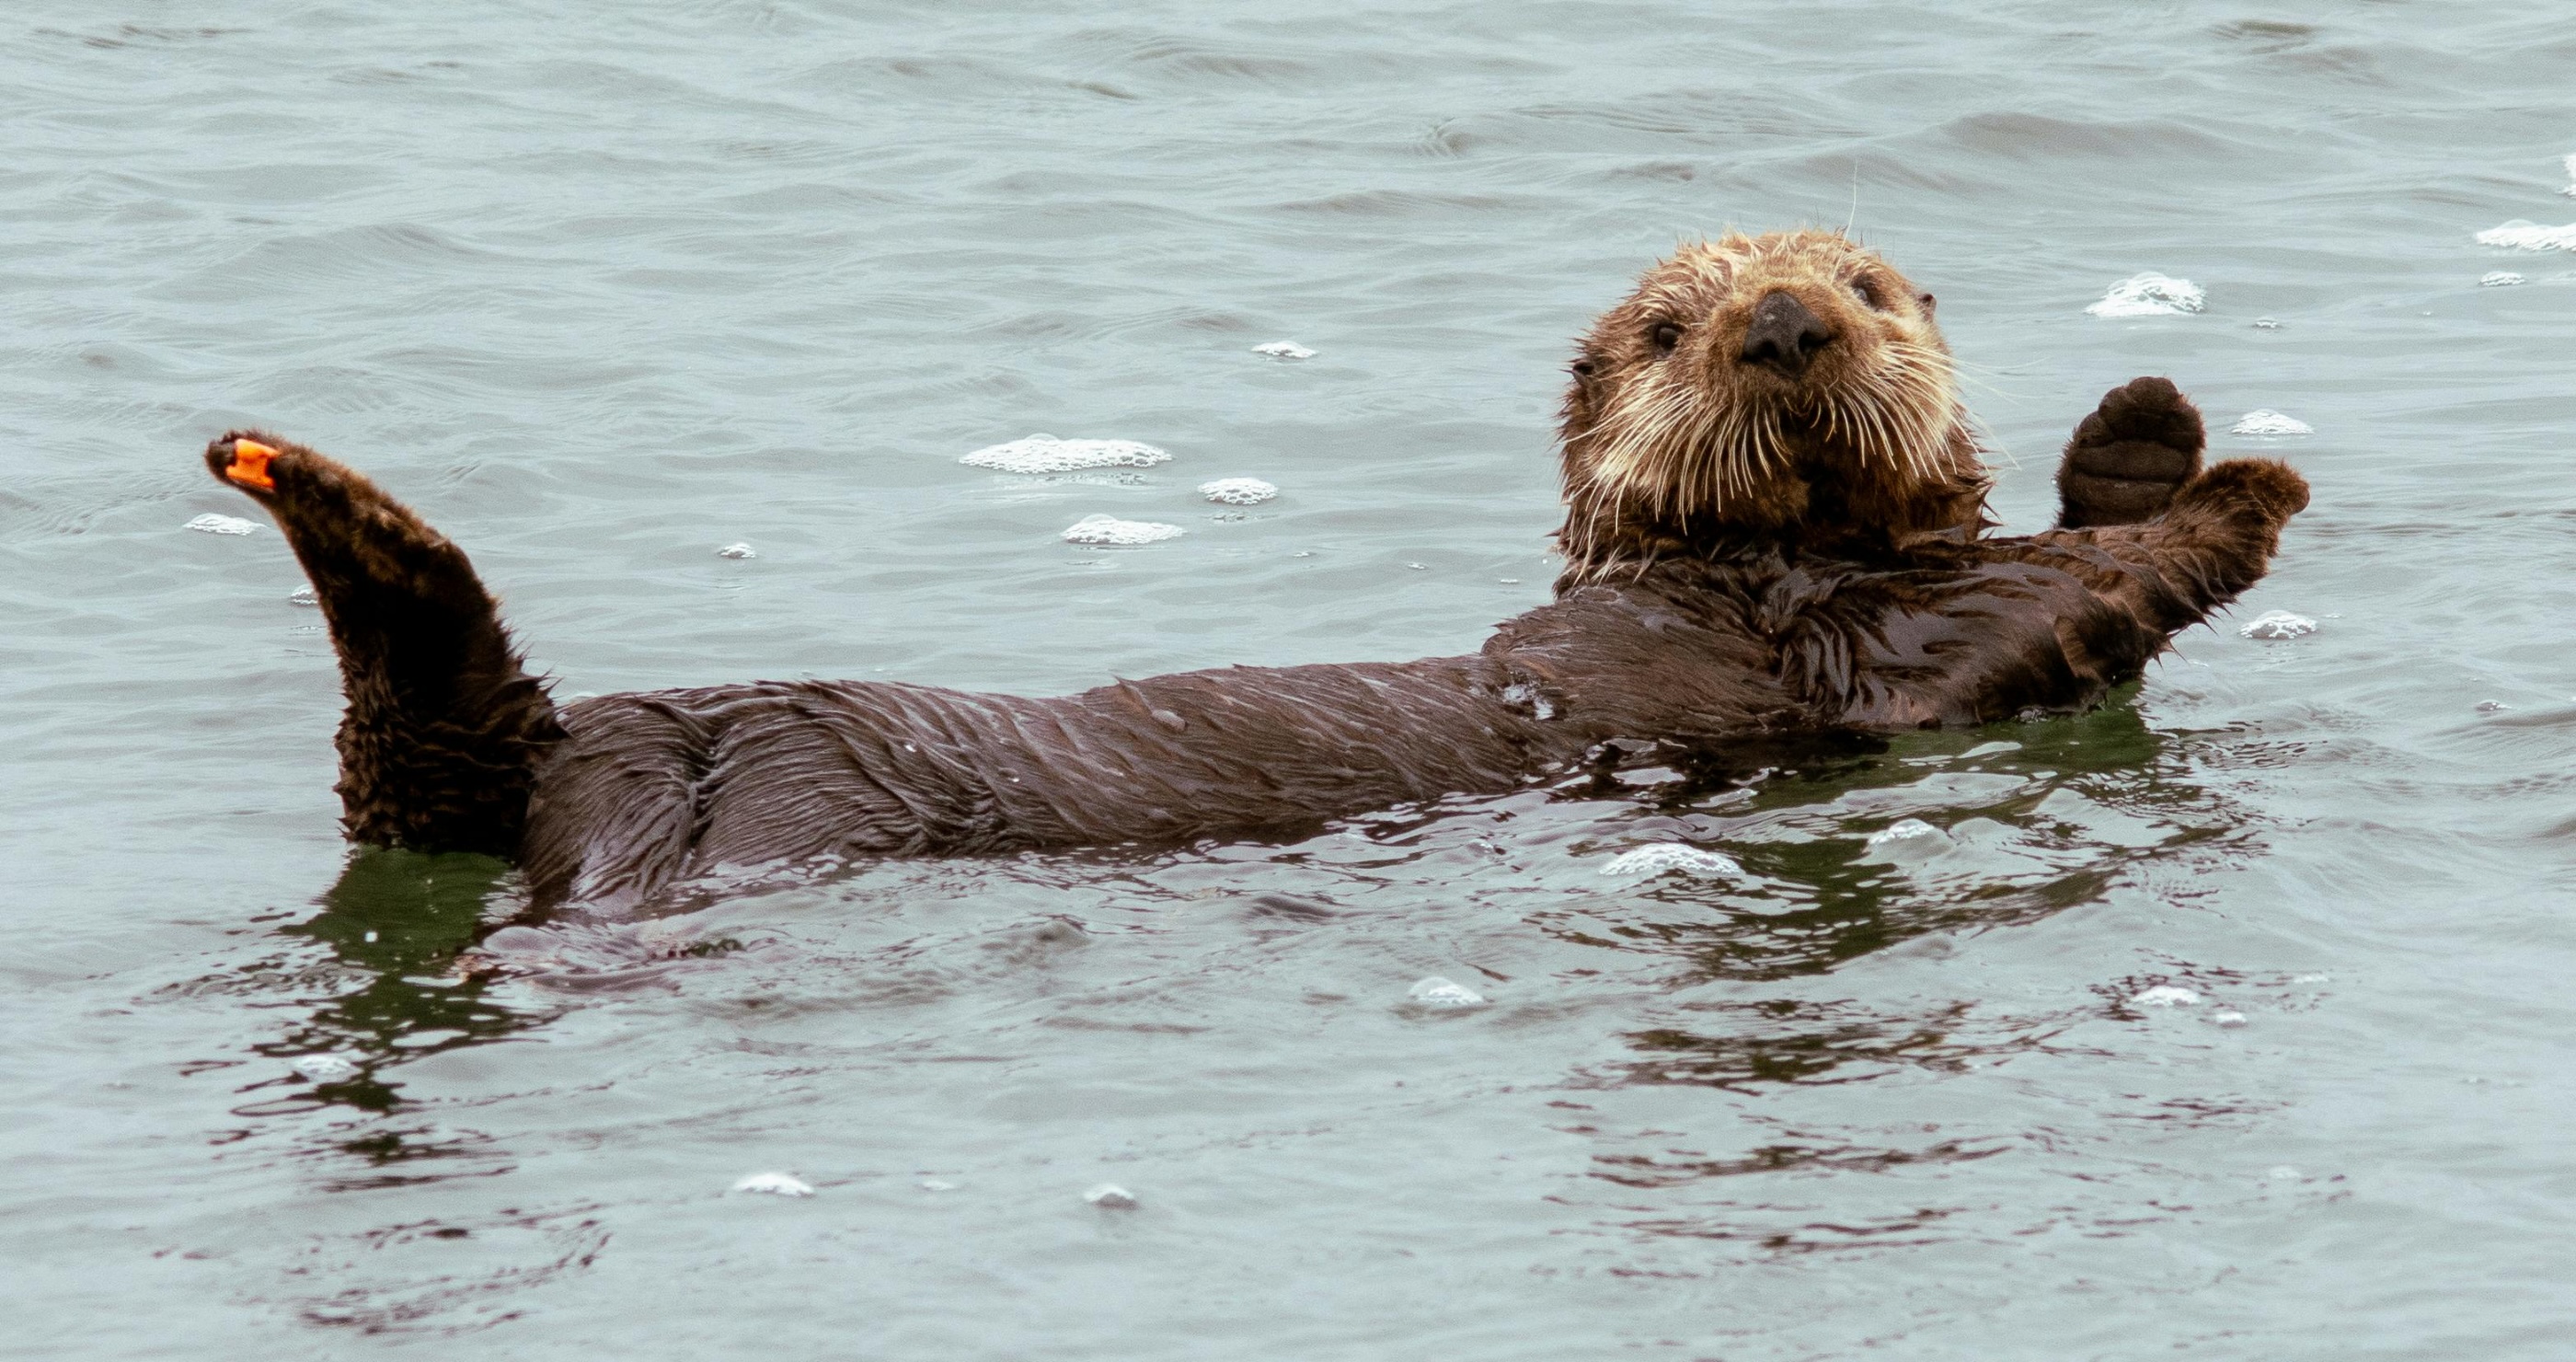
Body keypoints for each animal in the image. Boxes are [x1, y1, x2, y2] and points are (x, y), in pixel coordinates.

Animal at [199, 233, 2307, 914]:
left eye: (1864, 286)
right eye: (1664, 326)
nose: (1783, 324)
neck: (1762, 567)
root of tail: (566, 789)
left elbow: (2048, 569)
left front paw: (2144, 427)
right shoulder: (1856, 653)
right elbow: (2036, 601)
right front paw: (2235, 481)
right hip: (717, 786)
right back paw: (304, 483)